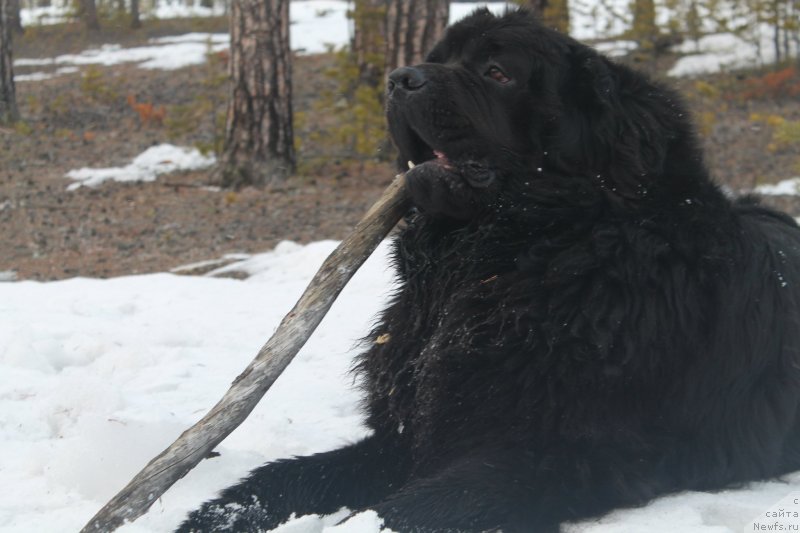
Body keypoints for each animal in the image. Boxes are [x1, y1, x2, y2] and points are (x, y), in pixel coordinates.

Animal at [181, 8, 800, 532]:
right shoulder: (404, 437)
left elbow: (418, 508)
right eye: (441, 57)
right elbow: (283, 479)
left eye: (498, 73)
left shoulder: (565, 452)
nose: (400, 78)